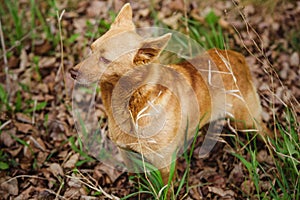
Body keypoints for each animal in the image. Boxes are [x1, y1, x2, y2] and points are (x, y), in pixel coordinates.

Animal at [69, 3, 270, 184]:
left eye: (104, 59)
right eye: (91, 49)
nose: (72, 72)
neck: (135, 101)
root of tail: (237, 56)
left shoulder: (164, 166)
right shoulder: (127, 155)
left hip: (248, 121)